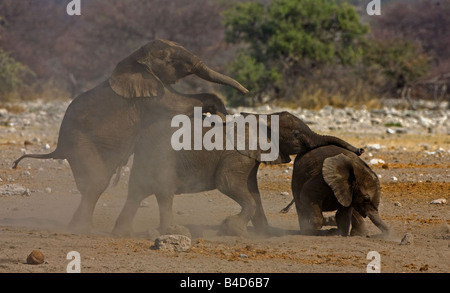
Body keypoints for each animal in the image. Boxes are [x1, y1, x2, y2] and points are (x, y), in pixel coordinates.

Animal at [12, 38, 248, 232]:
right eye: (170, 59)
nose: (245, 91)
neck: (136, 57)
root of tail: (58, 147)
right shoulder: (150, 96)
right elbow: (180, 103)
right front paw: (220, 111)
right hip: (79, 144)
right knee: (96, 183)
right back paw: (81, 229)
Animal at [113, 110, 366, 236]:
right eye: (296, 135)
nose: (361, 150)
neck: (261, 118)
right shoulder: (237, 154)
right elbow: (228, 184)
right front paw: (233, 229)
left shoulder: (251, 158)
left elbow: (253, 191)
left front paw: (266, 233)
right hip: (161, 158)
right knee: (164, 193)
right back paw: (171, 231)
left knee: (135, 193)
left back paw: (121, 232)